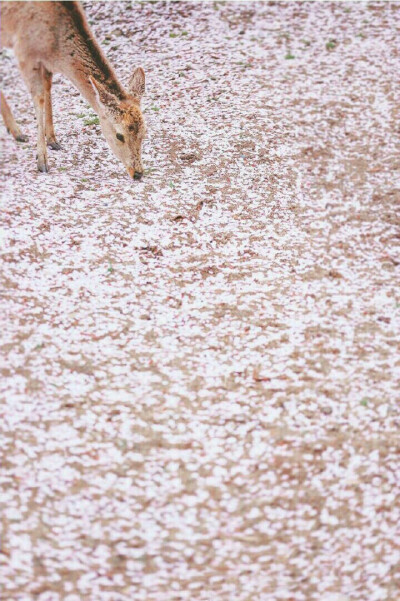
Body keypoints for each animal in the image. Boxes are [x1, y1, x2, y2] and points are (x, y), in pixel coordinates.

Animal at [0, 0, 147, 178]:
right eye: (119, 135)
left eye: (144, 132)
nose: (138, 173)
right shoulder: (25, 53)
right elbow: (39, 97)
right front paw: (42, 161)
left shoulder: (46, 63)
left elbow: (48, 88)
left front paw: (53, 140)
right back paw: (17, 131)